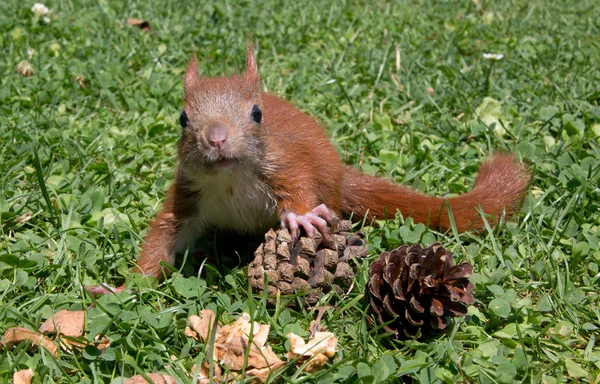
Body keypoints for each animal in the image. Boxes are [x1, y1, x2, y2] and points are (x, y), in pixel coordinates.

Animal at [86, 45, 528, 296]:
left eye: (257, 113)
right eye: (182, 118)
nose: (217, 138)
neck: (229, 181)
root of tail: (343, 178)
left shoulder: (287, 166)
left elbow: (299, 187)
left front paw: (300, 217)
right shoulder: (188, 195)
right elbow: (161, 239)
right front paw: (122, 287)